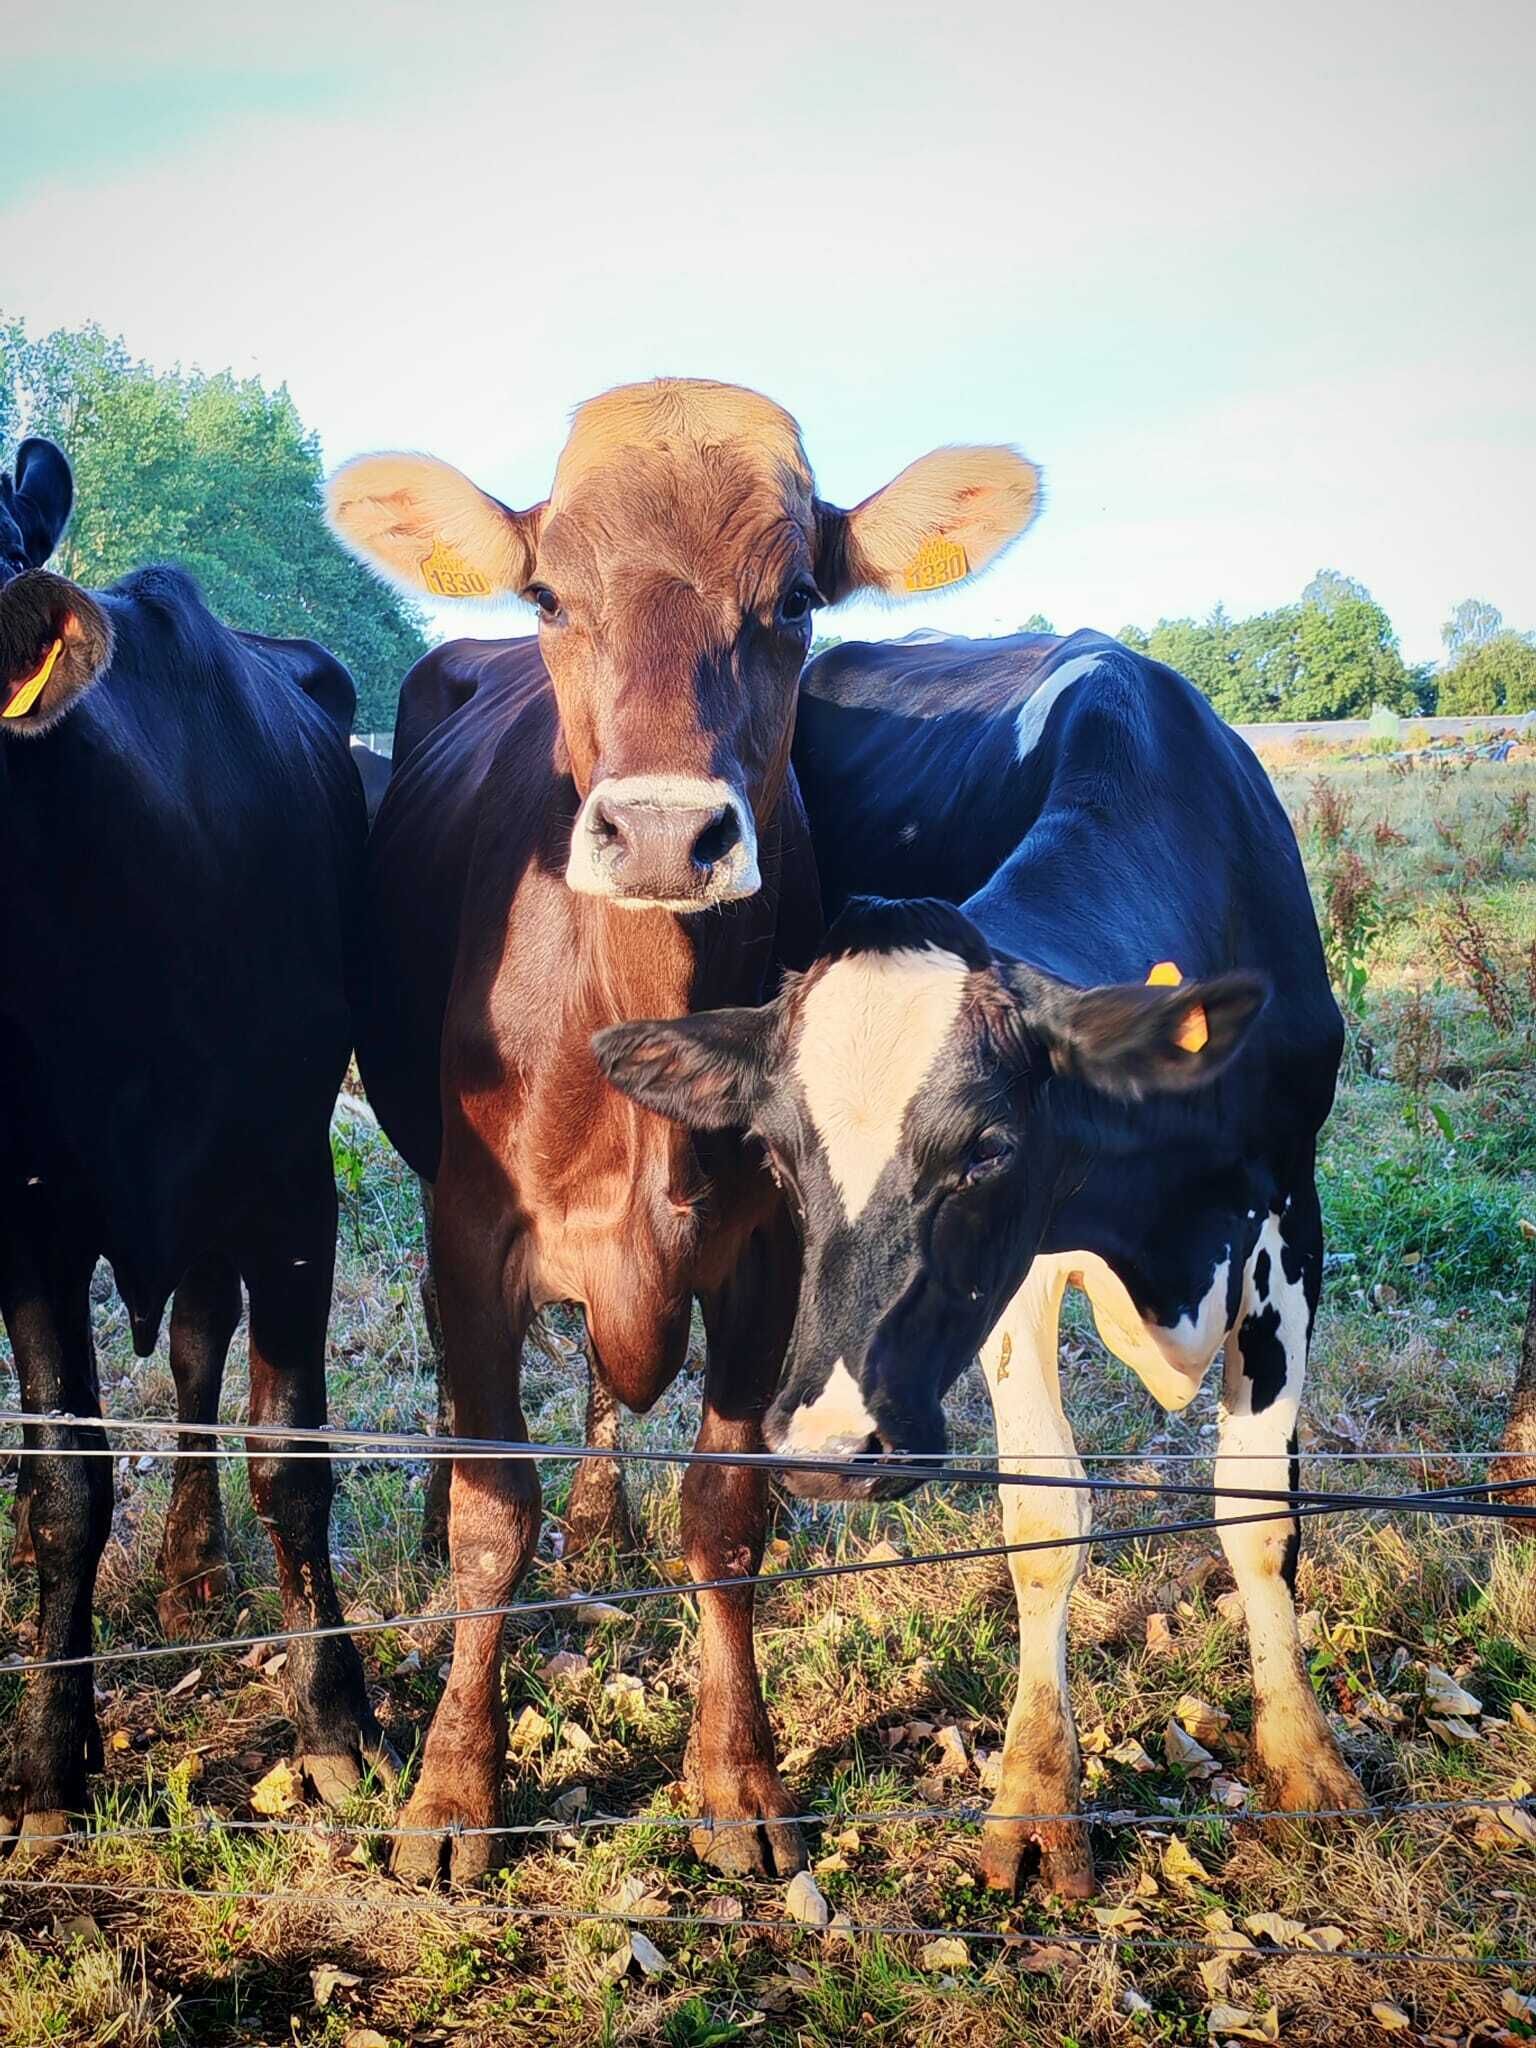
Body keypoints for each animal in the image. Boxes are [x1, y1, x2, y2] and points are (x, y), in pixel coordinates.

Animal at [0, 436, 392, 1850]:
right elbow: (64, 1481)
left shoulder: (290, 1180)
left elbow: (293, 1451)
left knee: (197, 1339)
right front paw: (51, 1763)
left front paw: (333, 1722)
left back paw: (197, 1565)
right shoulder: (27, 1211)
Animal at [323, 378, 1041, 1884]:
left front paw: (736, 1774)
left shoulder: (766, 1252)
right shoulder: (470, 1237)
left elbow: (726, 1509)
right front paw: (453, 1788)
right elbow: (491, 1515)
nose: (663, 833)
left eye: (797, 600)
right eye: (550, 594)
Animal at [595, 625, 1366, 1898]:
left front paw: (1306, 1761)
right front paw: (1037, 1797)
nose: (831, 1447)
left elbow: (1259, 1509)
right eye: (779, 1146)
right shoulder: (1023, 1274)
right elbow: (1046, 1518)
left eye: (987, 1149)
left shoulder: (1289, 1203)